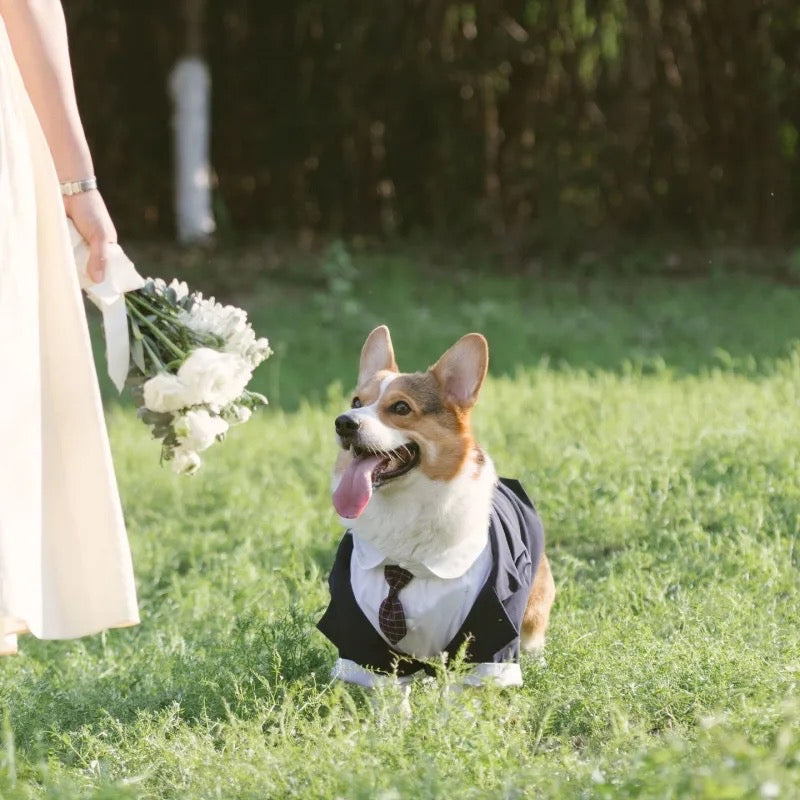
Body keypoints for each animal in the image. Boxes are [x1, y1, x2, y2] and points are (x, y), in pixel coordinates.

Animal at [316, 324, 552, 688]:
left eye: (400, 408)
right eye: (356, 402)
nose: (344, 422)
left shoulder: (486, 633)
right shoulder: (364, 636)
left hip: (533, 606)